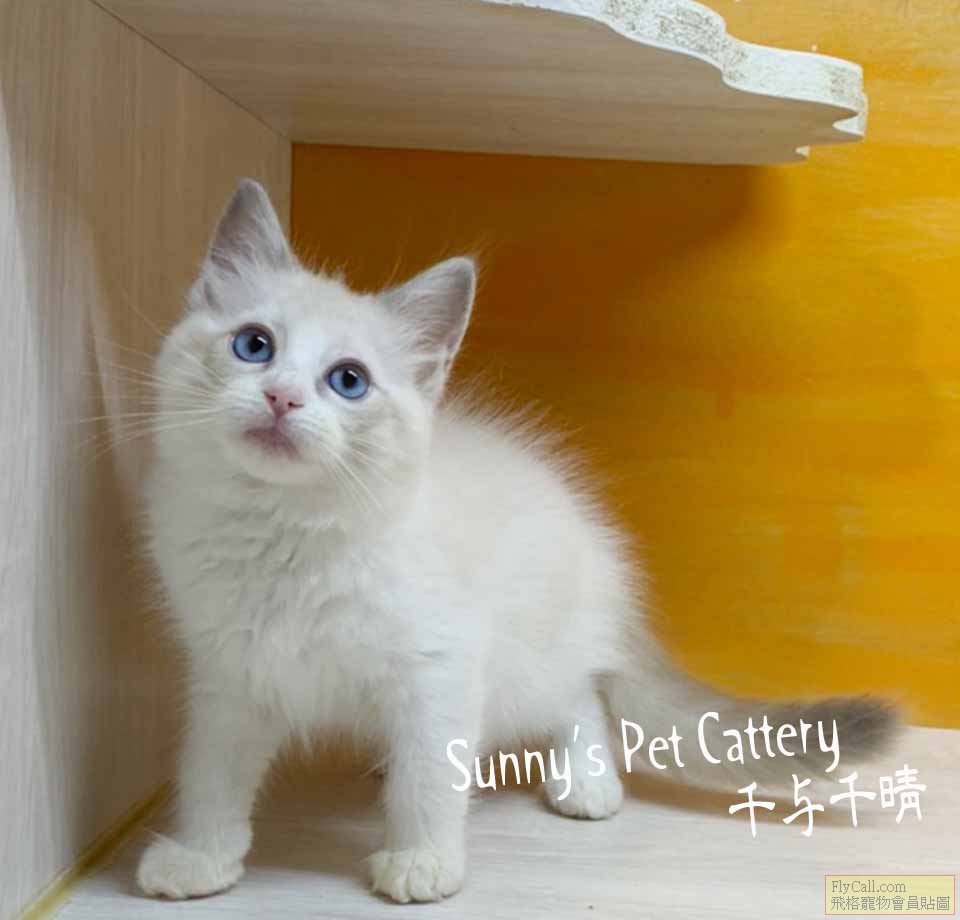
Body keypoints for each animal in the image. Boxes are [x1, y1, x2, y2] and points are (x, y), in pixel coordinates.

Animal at [136, 179, 897, 904]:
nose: (283, 398)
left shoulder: (440, 667)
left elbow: (428, 780)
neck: (283, 533)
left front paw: (423, 861)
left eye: (348, 381)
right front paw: (201, 859)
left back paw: (585, 781)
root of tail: (603, 563)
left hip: (526, 664)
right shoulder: (229, 675)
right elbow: (211, 777)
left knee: (582, 699)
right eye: (253, 345)